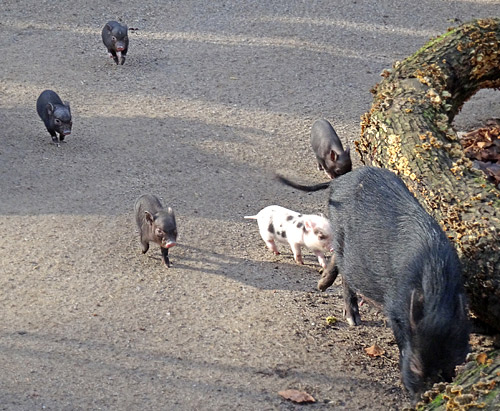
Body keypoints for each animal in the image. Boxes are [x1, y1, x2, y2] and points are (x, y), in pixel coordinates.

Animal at [278, 167, 468, 402]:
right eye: (416, 366)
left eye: (451, 368)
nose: (422, 400)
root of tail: (341, 180)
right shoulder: (395, 307)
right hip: (342, 236)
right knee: (345, 274)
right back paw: (350, 316)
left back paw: (322, 285)